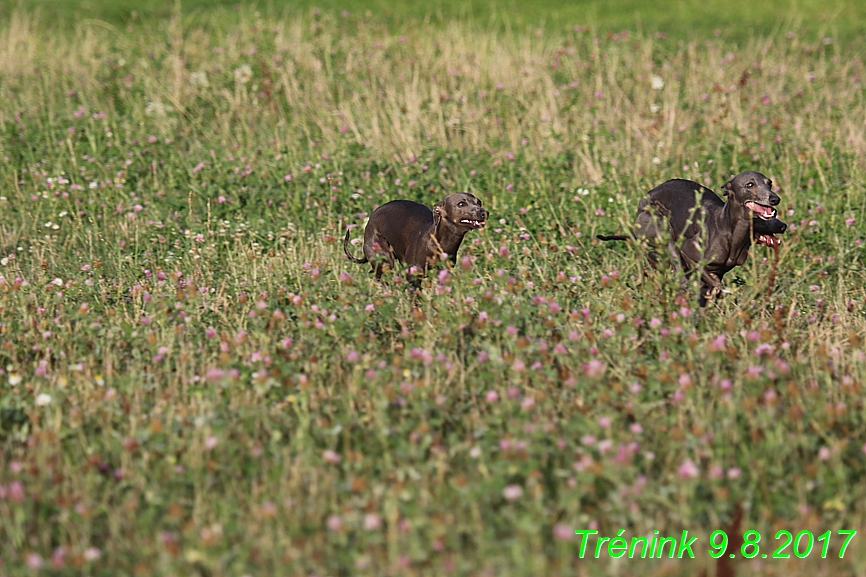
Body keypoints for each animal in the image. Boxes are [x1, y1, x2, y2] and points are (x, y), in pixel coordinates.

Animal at [340, 192, 486, 280]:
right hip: (384, 260)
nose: (484, 213)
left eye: (479, 202)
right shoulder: (414, 274)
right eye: (461, 203)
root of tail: (371, 218)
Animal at [596, 170, 788, 306]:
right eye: (750, 184)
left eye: (769, 183)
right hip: (663, 230)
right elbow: (710, 284)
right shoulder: (688, 254)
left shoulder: (718, 271)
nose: (775, 199)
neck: (727, 227)